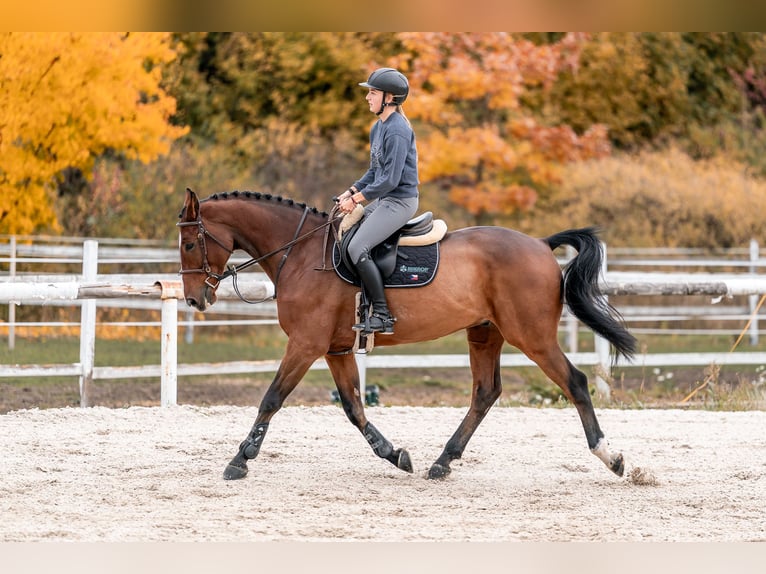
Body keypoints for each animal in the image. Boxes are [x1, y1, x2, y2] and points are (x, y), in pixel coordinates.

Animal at [177, 188, 636, 481]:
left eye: (188, 244)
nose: (196, 299)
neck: (301, 254)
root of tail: (541, 244)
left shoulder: (306, 345)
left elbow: (272, 398)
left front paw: (240, 459)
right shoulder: (336, 349)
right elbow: (353, 407)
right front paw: (394, 455)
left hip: (532, 336)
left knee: (574, 382)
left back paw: (610, 457)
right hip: (484, 334)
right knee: (485, 392)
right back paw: (443, 462)